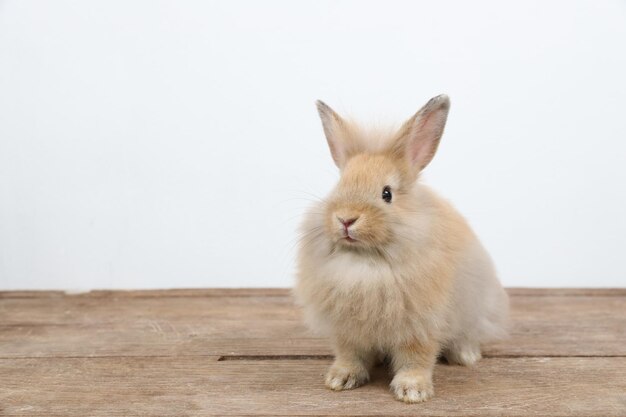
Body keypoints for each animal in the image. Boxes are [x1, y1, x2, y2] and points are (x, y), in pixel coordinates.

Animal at [292, 95, 508, 404]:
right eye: (338, 186)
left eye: (387, 194)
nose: (346, 219)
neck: (366, 262)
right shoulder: (346, 330)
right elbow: (349, 355)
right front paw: (340, 379)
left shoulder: (420, 326)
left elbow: (415, 359)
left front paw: (412, 391)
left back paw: (465, 356)